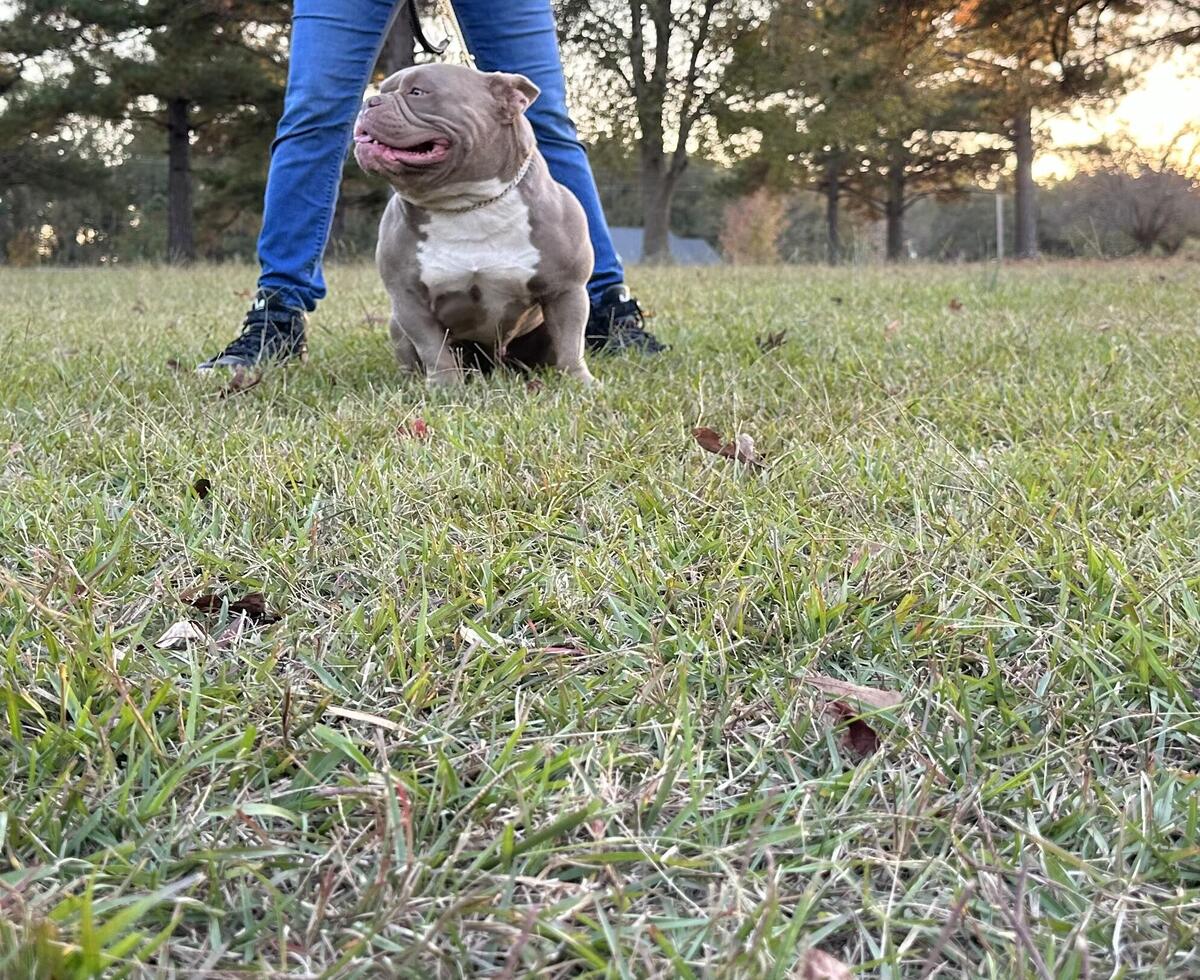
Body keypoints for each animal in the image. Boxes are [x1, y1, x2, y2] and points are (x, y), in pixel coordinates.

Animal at [355, 62, 600, 386]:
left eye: (418, 92)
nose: (369, 102)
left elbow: (571, 341)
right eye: (383, 90)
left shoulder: (566, 290)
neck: (467, 203)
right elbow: (432, 347)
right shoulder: (408, 299)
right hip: (397, 324)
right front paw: (445, 386)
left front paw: (580, 381)